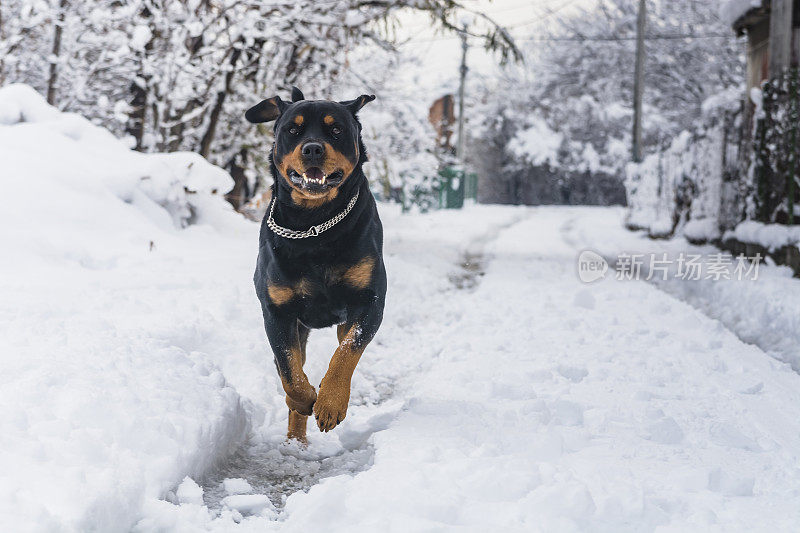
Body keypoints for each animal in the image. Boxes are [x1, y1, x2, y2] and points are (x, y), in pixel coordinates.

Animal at [247, 87, 388, 442]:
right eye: (292, 130)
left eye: (336, 129)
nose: (312, 148)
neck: (314, 225)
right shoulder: (277, 312)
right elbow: (289, 371)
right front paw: (305, 399)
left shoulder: (370, 301)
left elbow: (348, 351)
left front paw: (330, 402)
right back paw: (296, 441)